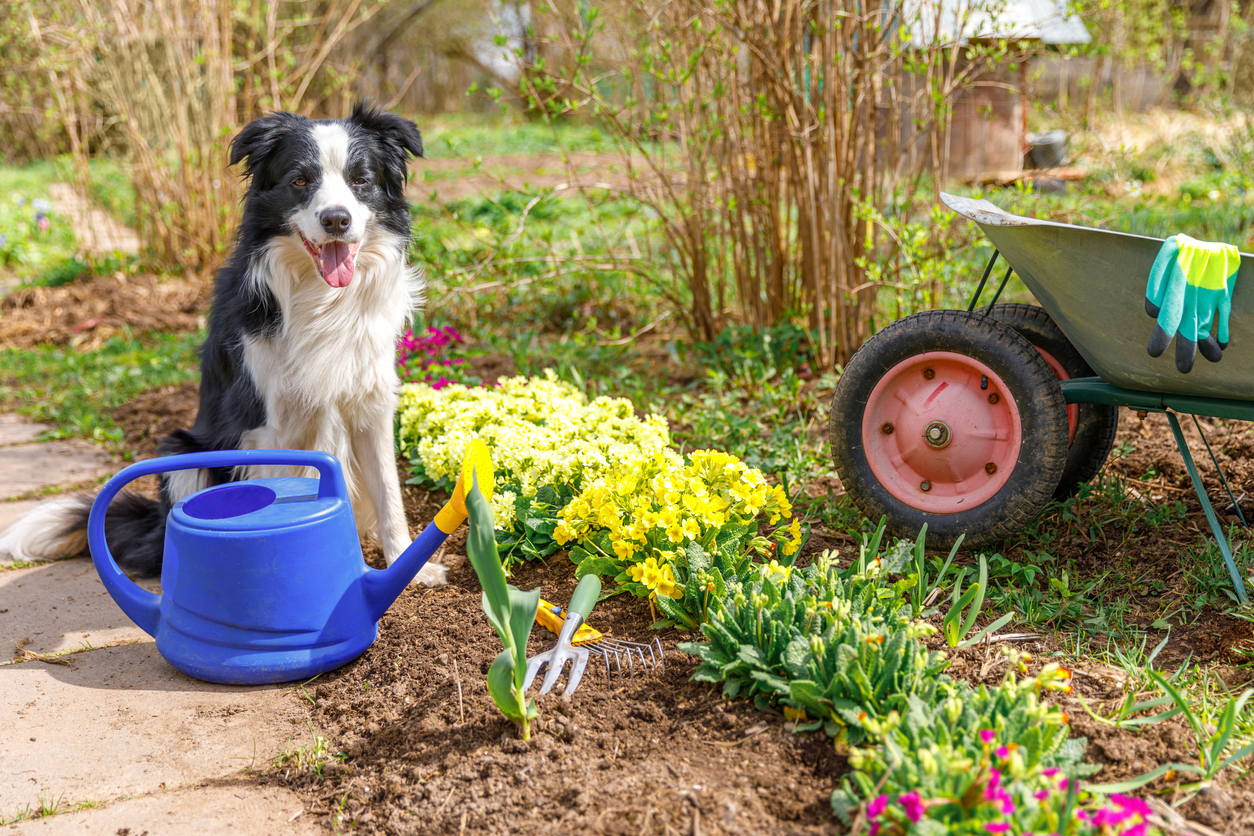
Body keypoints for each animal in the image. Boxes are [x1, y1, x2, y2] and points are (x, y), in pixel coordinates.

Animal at [0, 102, 448, 589]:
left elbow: (388, 492)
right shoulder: (266, 422)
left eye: (361, 180)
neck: (321, 297)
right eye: (300, 180)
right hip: (183, 454)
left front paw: (408, 565)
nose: (336, 220)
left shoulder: (369, 403)